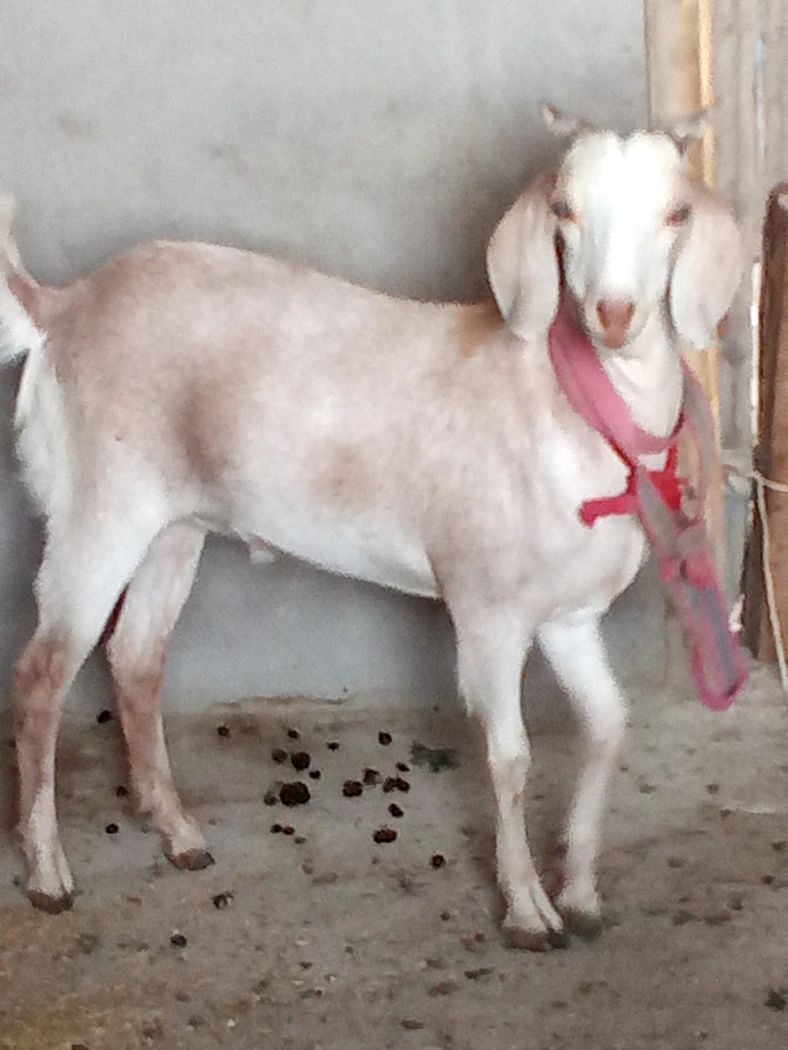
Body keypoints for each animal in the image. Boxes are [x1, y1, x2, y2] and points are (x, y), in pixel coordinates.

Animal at [0, 108, 743, 949]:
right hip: (98, 505)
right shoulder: (487, 608)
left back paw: (180, 835)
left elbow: (608, 727)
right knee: (41, 675)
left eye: (676, 214)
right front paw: (527, 910)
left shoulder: (569, 618)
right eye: (564, 210)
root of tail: (63, 307)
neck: (562, 403)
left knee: (134, 658)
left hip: (173, 523)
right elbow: (511, 757)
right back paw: (49, 876)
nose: (614, 316)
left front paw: (581, 890)